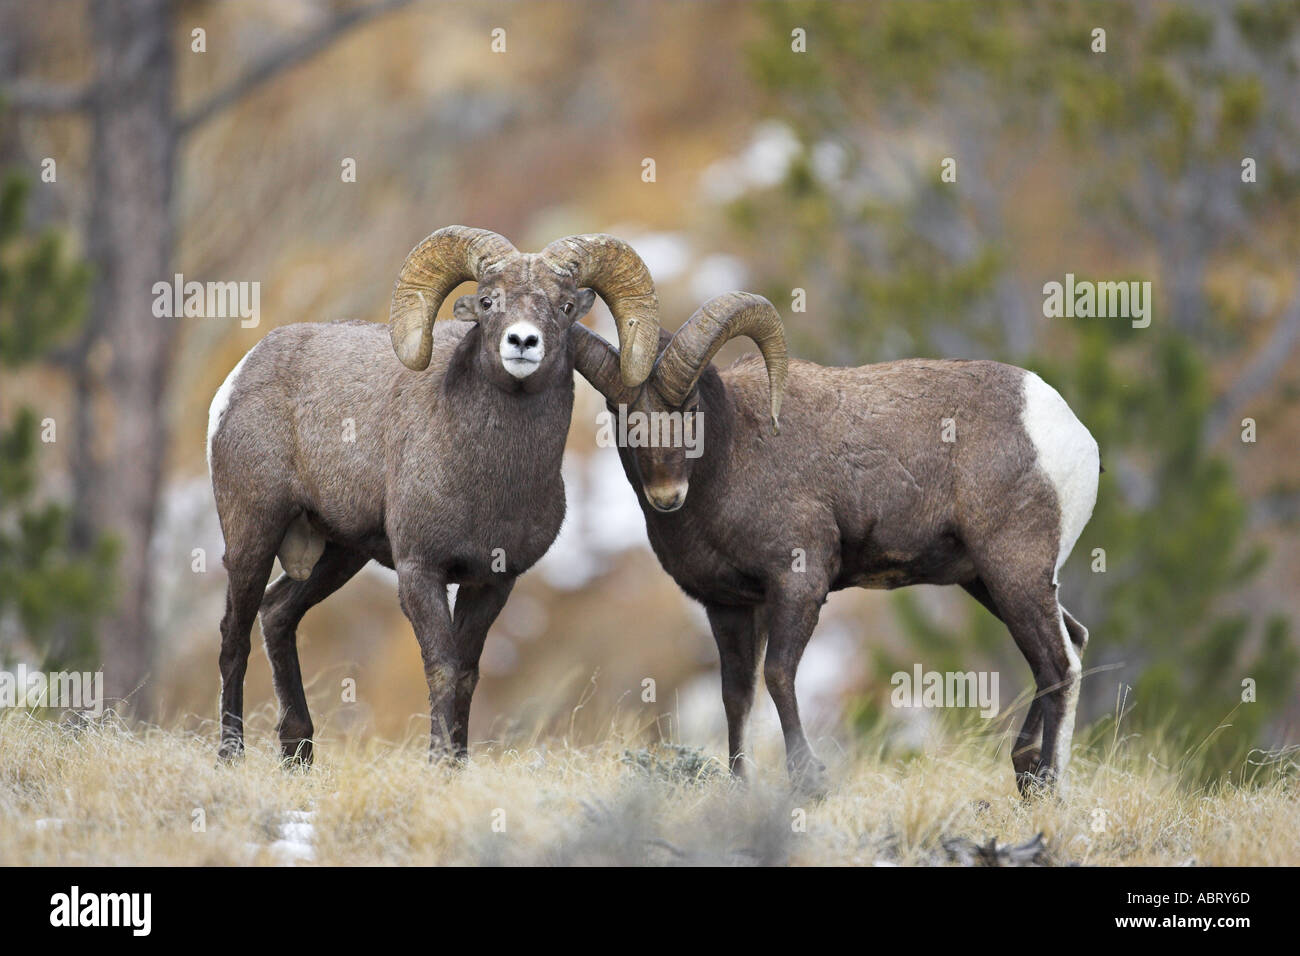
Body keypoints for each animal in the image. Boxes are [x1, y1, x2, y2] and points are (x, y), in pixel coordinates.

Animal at [207, 226, 661, 764]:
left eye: (566, 306)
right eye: (487, 301)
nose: (522, 342)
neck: (490, 481)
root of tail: (241, 376)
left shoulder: (493, 582)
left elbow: (466, 673)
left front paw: (455, 764)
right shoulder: (420, 571)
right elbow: (442, 667)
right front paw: (439, 761)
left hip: (340, 555)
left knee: (277, 614)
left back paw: (297, 755)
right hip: (252, 534)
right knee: (234, 636)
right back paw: (231, 754)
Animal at [572, 291, 1100, 795]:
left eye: (690, 408)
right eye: (620, 413)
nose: (666, 496)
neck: (730, 458)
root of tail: (1074, 435)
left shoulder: (799, 584)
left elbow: (778, 675)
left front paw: (810, 782)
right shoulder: (729, 606)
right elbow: (737, 696)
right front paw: (741, 789)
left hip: (1015, 572)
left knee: (1059, 664)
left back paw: (1048, 788)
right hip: (989, 582)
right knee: (1067, 645)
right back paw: (1026, 775)